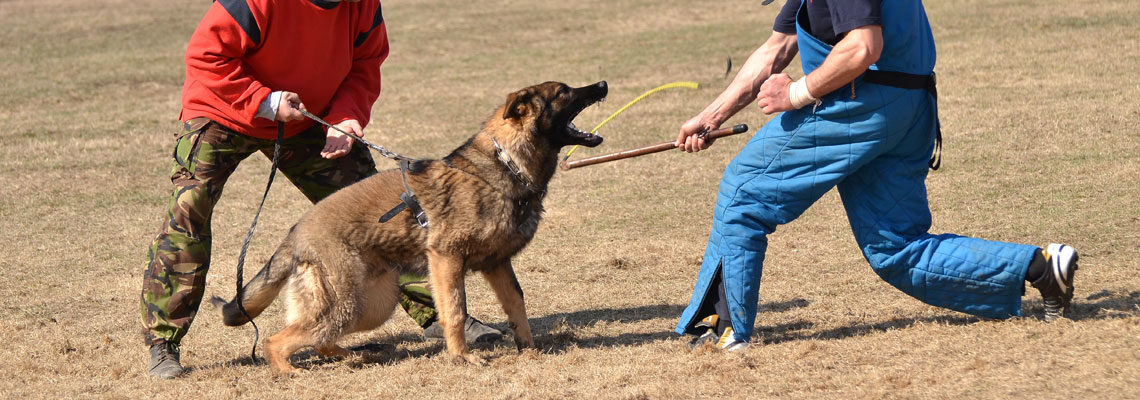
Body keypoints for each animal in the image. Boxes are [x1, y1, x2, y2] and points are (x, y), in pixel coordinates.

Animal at [210, 79, 611, 373]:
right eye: (564, 92)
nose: (603, 84)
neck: (505, 164)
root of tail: (295, 233)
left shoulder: (498, 265)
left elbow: (517, 307)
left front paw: (528, 351)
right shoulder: (446, 260)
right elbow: (454, 310)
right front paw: (461, 358)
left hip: (374, 303)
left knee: (318, 338)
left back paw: (353, 356)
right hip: (348, 303)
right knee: (277, 340)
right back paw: (289, 372)